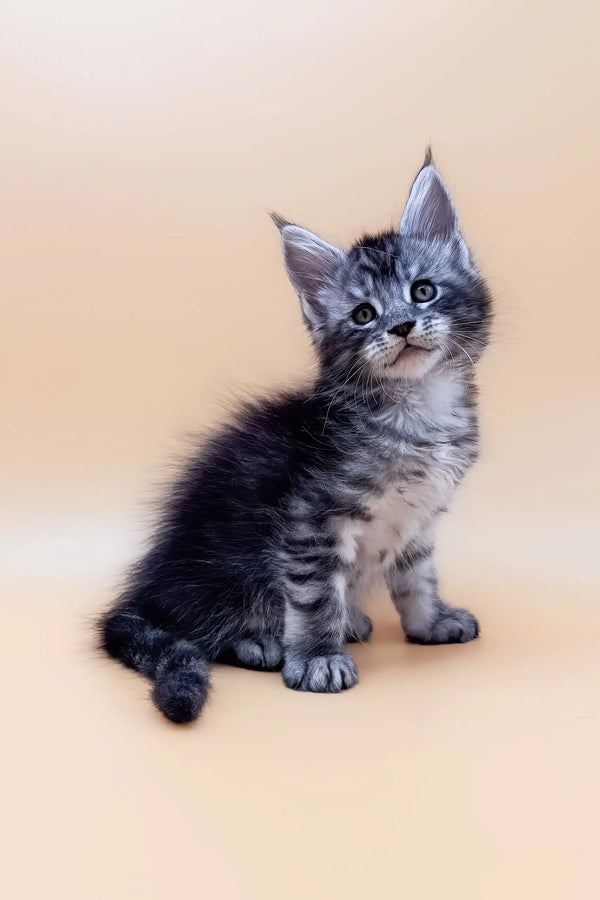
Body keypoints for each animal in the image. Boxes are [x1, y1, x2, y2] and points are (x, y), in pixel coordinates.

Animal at [99, 153, 492, 724]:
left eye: (423, 290)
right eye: (363, 315)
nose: (400, 326)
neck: (416, 410)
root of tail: (147, 591)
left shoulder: (418, 521)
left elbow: (417, 578)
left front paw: (430, 622)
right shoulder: (311, 518)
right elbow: (313, 597)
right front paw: (318, 658)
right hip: (228, 567)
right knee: (201, 632)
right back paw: (263, 643)